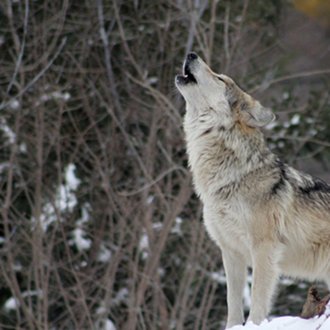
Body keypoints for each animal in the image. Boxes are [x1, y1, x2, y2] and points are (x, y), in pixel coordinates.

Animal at [177, 51, 330, 328]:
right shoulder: (230, 251)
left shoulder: (264, 248)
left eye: (220, 78)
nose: (191, 53)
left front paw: (254, 325)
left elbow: (258, 297)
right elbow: (233, 302)